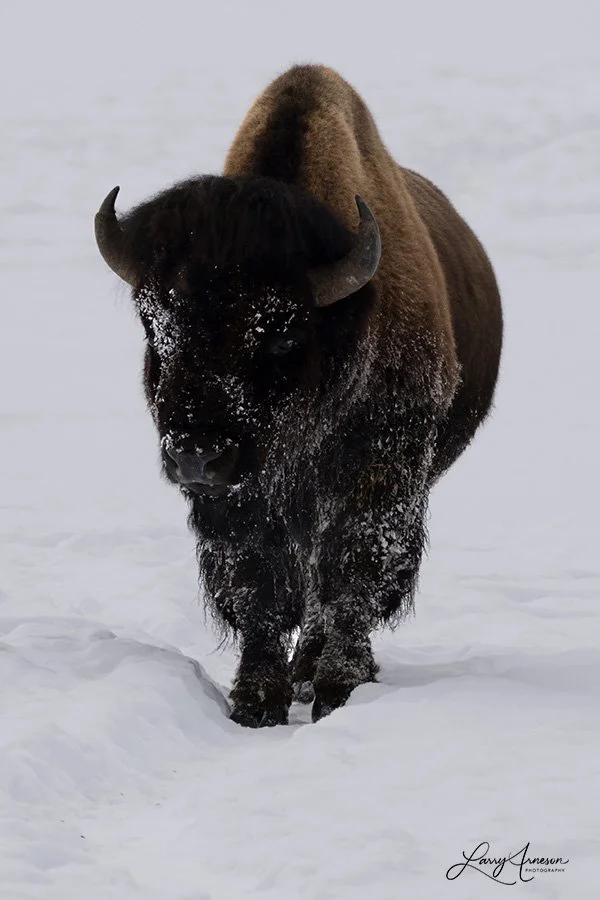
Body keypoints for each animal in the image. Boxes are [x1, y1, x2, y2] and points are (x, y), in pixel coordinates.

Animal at [95, 64, 502, 726]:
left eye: (282, 331)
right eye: (154, 321)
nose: (196, 454)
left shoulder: (378, 477)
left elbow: (352, 577)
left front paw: (337, 687)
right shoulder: (239, 501)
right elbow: (258, 586)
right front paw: (255, 701)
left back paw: (317, 673)